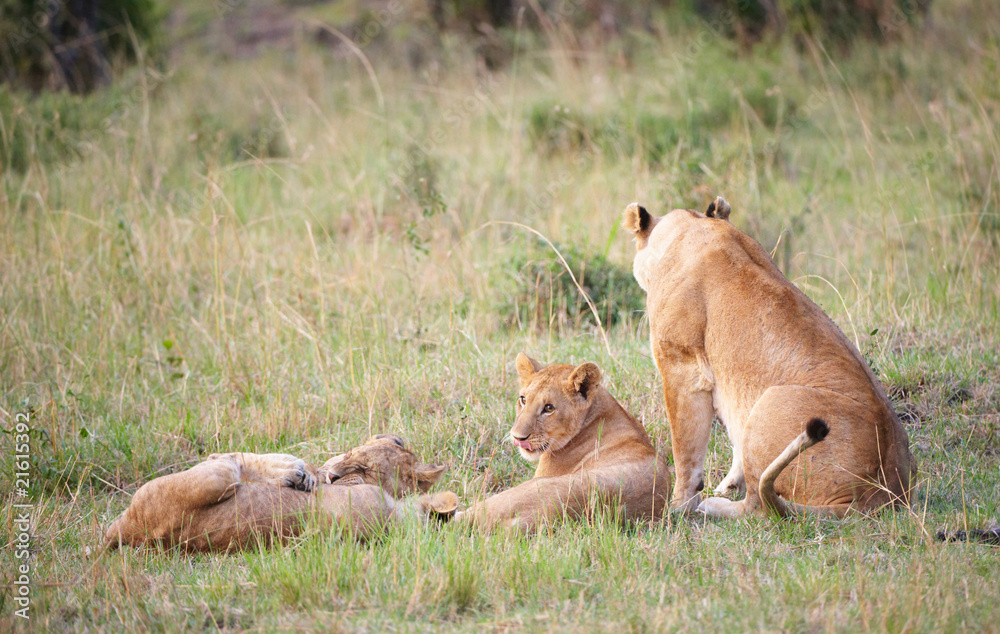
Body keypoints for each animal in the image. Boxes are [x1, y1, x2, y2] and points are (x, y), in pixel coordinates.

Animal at [104, 434, 458, 551]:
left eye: (367, 469)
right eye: (350, 455)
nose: (332, 475)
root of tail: (128, 530)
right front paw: (303, 472)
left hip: (212, 479)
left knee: (228, 460)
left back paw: (293, 475)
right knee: (230, 457)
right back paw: (294, 473)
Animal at [622, 197, 917, 518]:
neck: (694, 225)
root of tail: (884, 493)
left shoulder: (681, 366)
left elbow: (685, 449)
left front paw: (677, 506)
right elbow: (735, 445)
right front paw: (726, 484)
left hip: (770, 402)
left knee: (757, 506)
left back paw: (712, 506)